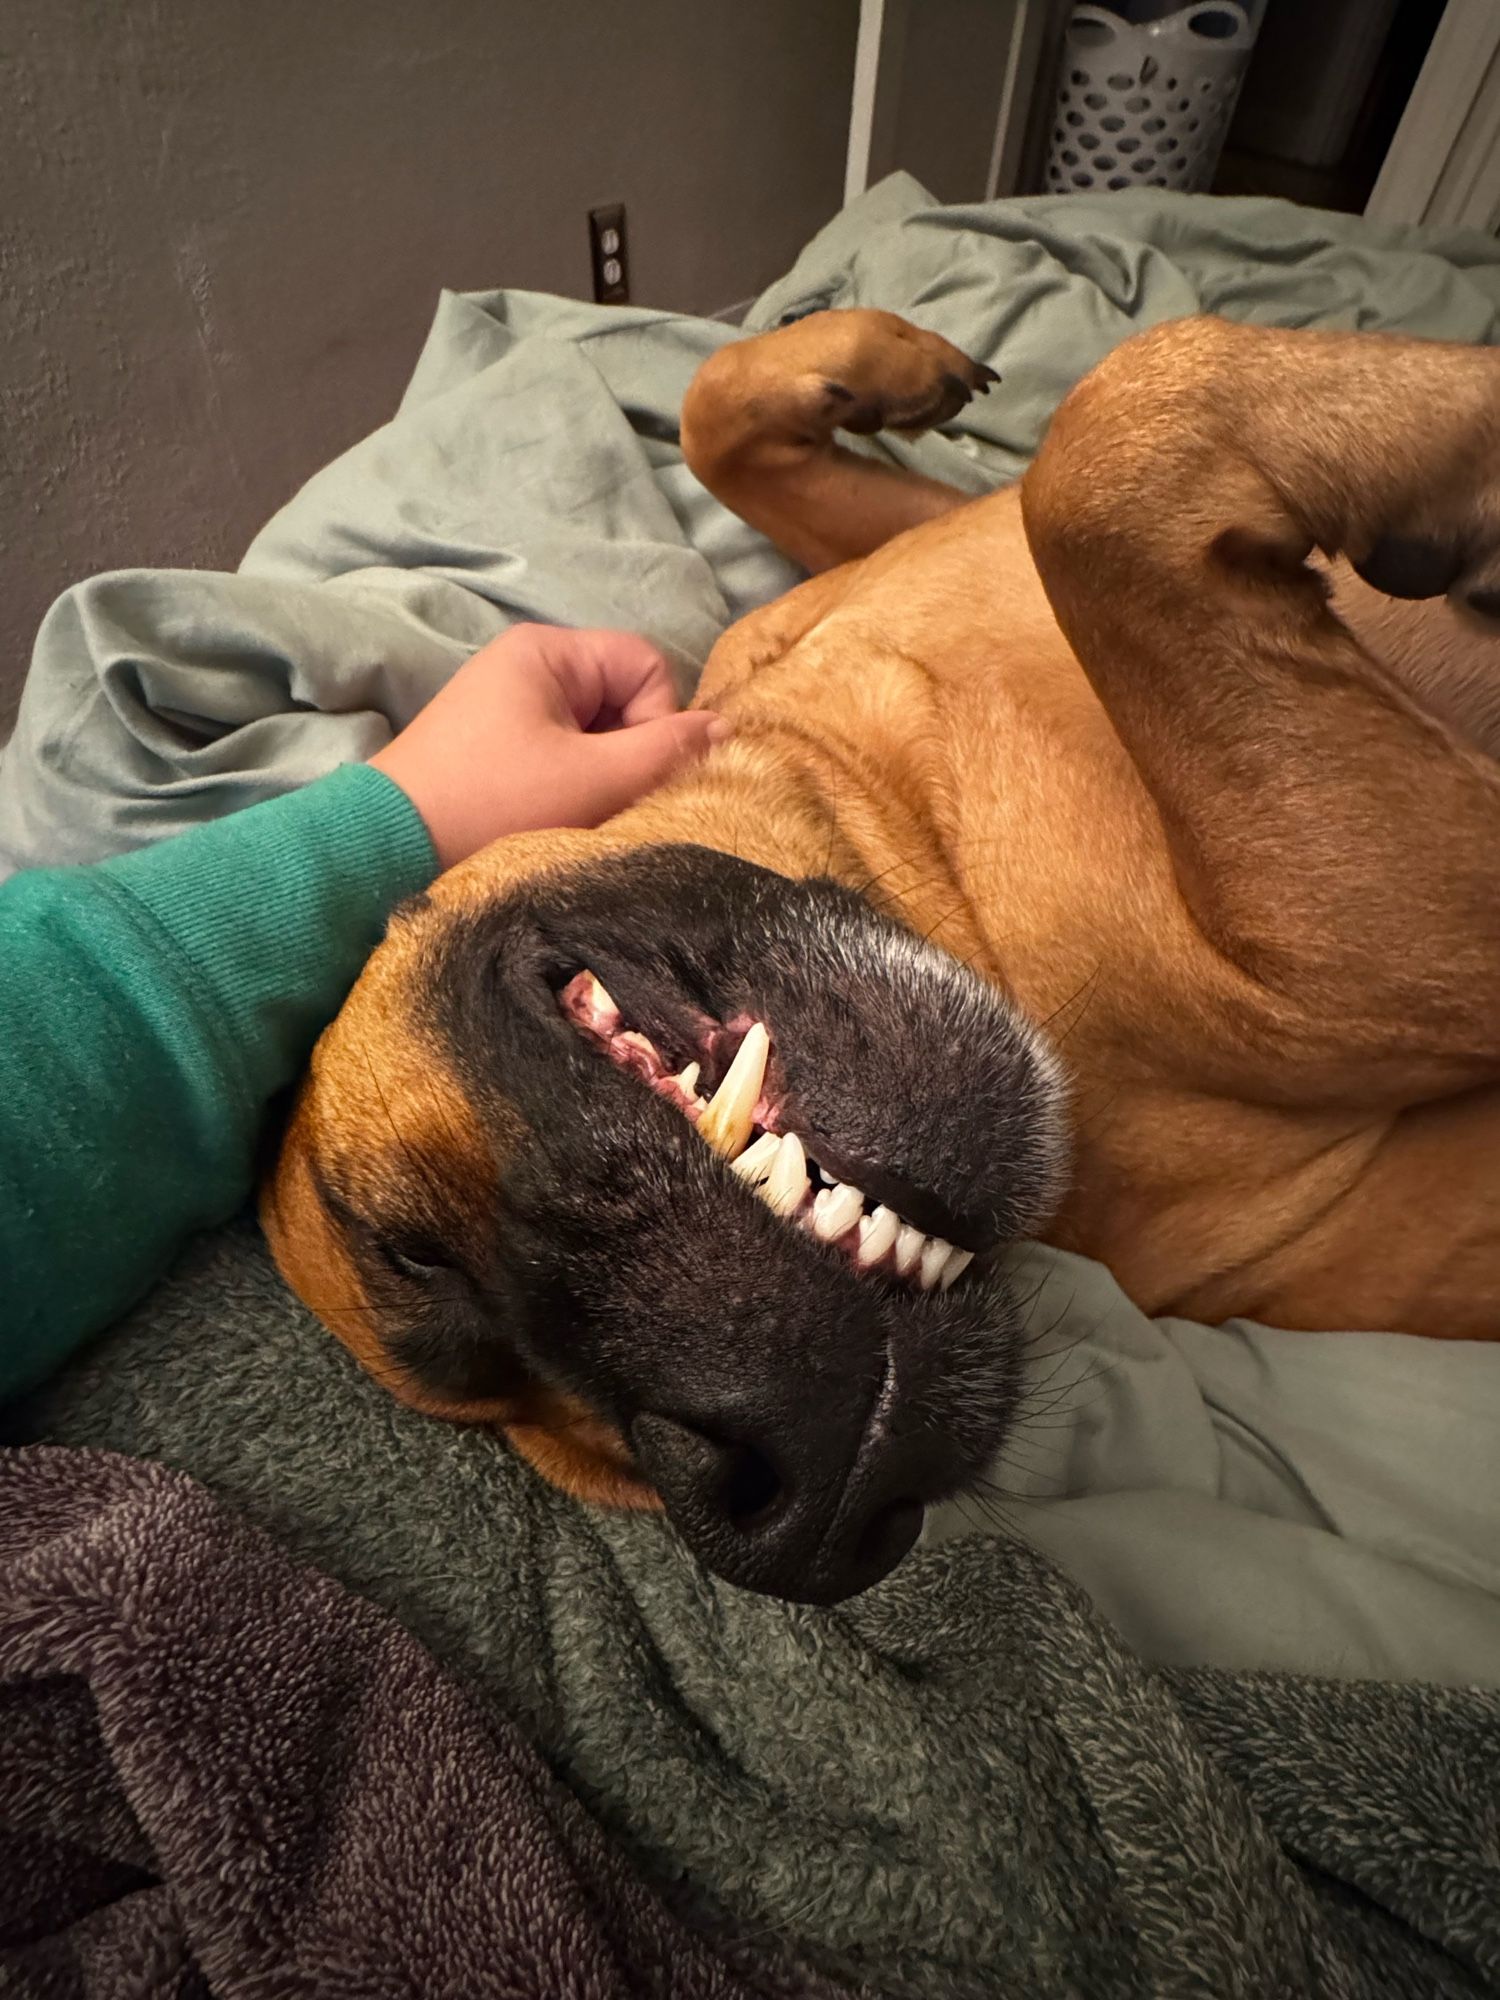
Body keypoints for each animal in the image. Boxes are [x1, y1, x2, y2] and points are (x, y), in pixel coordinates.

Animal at [264, 312, 1500, 1608]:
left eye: (407, 1250)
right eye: (614, 1475)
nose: (779, 1514)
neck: (888, 819)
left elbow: (756, 418)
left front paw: (866, 364)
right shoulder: (1371, 931)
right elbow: (1100, 467)